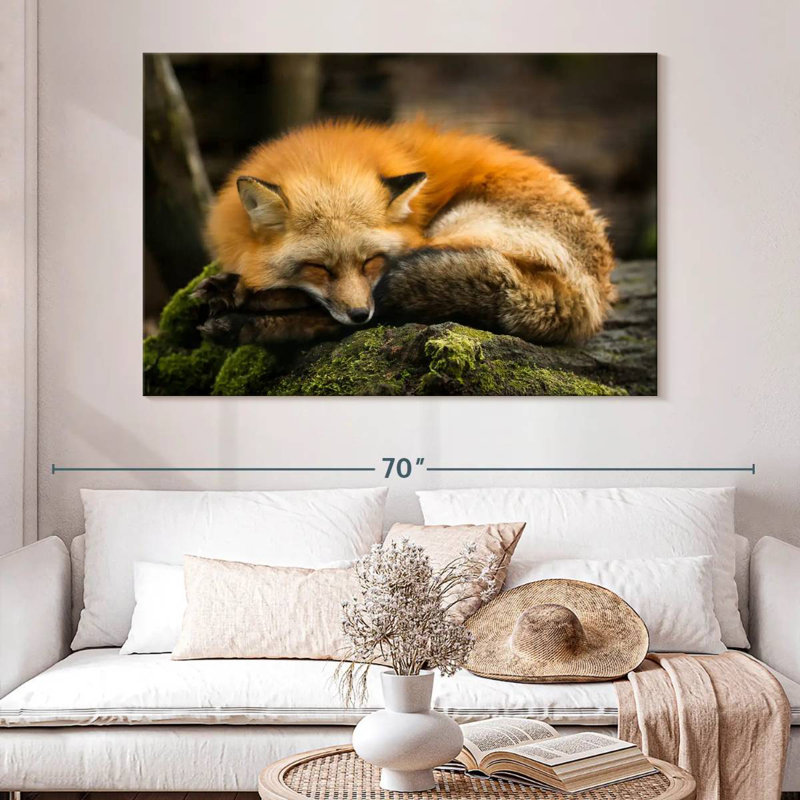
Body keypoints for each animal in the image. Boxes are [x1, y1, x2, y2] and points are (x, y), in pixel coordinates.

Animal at [196, 119, 616, 346]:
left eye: (371, 261)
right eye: (319, 268)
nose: (358, 314)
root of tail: (594, 297)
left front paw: (241, 297)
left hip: (453, 232)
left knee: (367, 315)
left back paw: (243, 320)